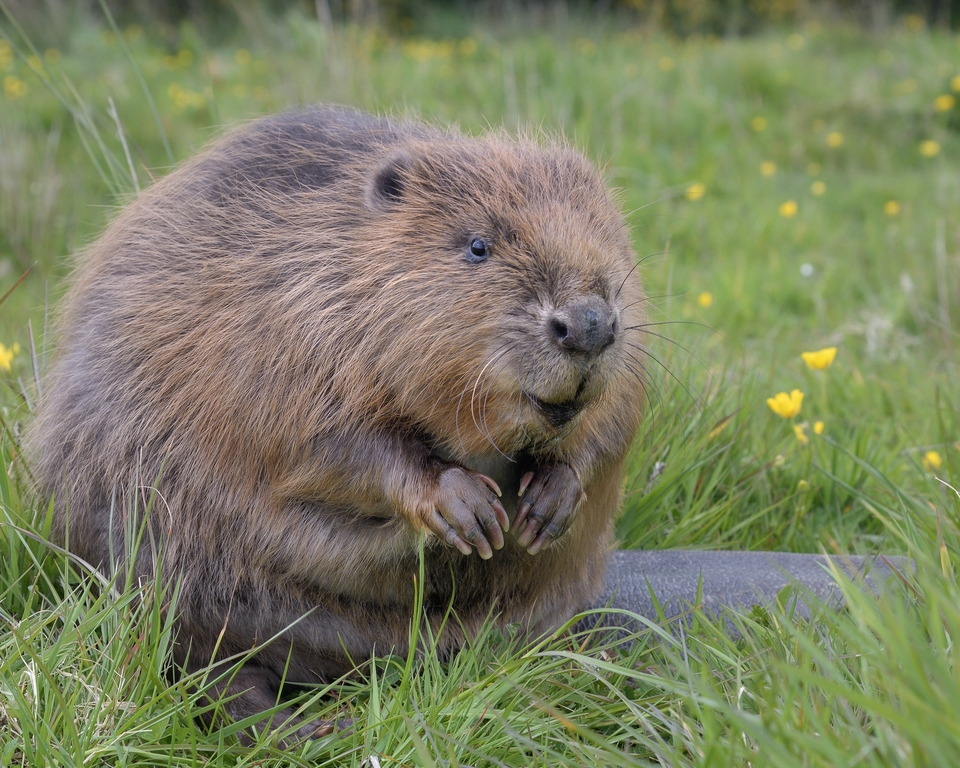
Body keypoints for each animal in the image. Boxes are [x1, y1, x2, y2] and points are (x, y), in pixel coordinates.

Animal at [28, 105, 644, 740]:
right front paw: (467, 508)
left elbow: (614, 419)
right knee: (198, 661)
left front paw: (548, 501)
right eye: (478, 245)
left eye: (606, 234)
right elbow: (328, 445)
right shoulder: (283, 327)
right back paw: (305, 728)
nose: (589, 323)